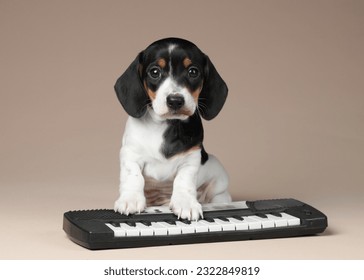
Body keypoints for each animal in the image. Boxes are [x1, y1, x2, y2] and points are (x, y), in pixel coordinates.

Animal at [114, 37, 230, 221]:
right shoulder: (130, 154)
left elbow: (183, 181)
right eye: (154, 72)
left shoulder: (191, 159)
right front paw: (130, 199)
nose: (175, 100)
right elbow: (133, 177)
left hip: (219, 177)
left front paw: (186, 203)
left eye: (193, 72)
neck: (164, 125)